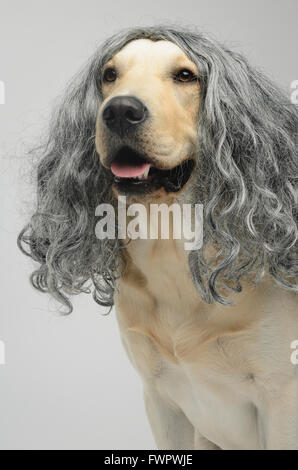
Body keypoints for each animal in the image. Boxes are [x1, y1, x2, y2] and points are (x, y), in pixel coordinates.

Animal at [19, 26, 298, 452]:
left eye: (185, 75)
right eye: (110, 74)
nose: (119, 111)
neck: (171, 247)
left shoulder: (281, 400)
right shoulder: (161, 397)